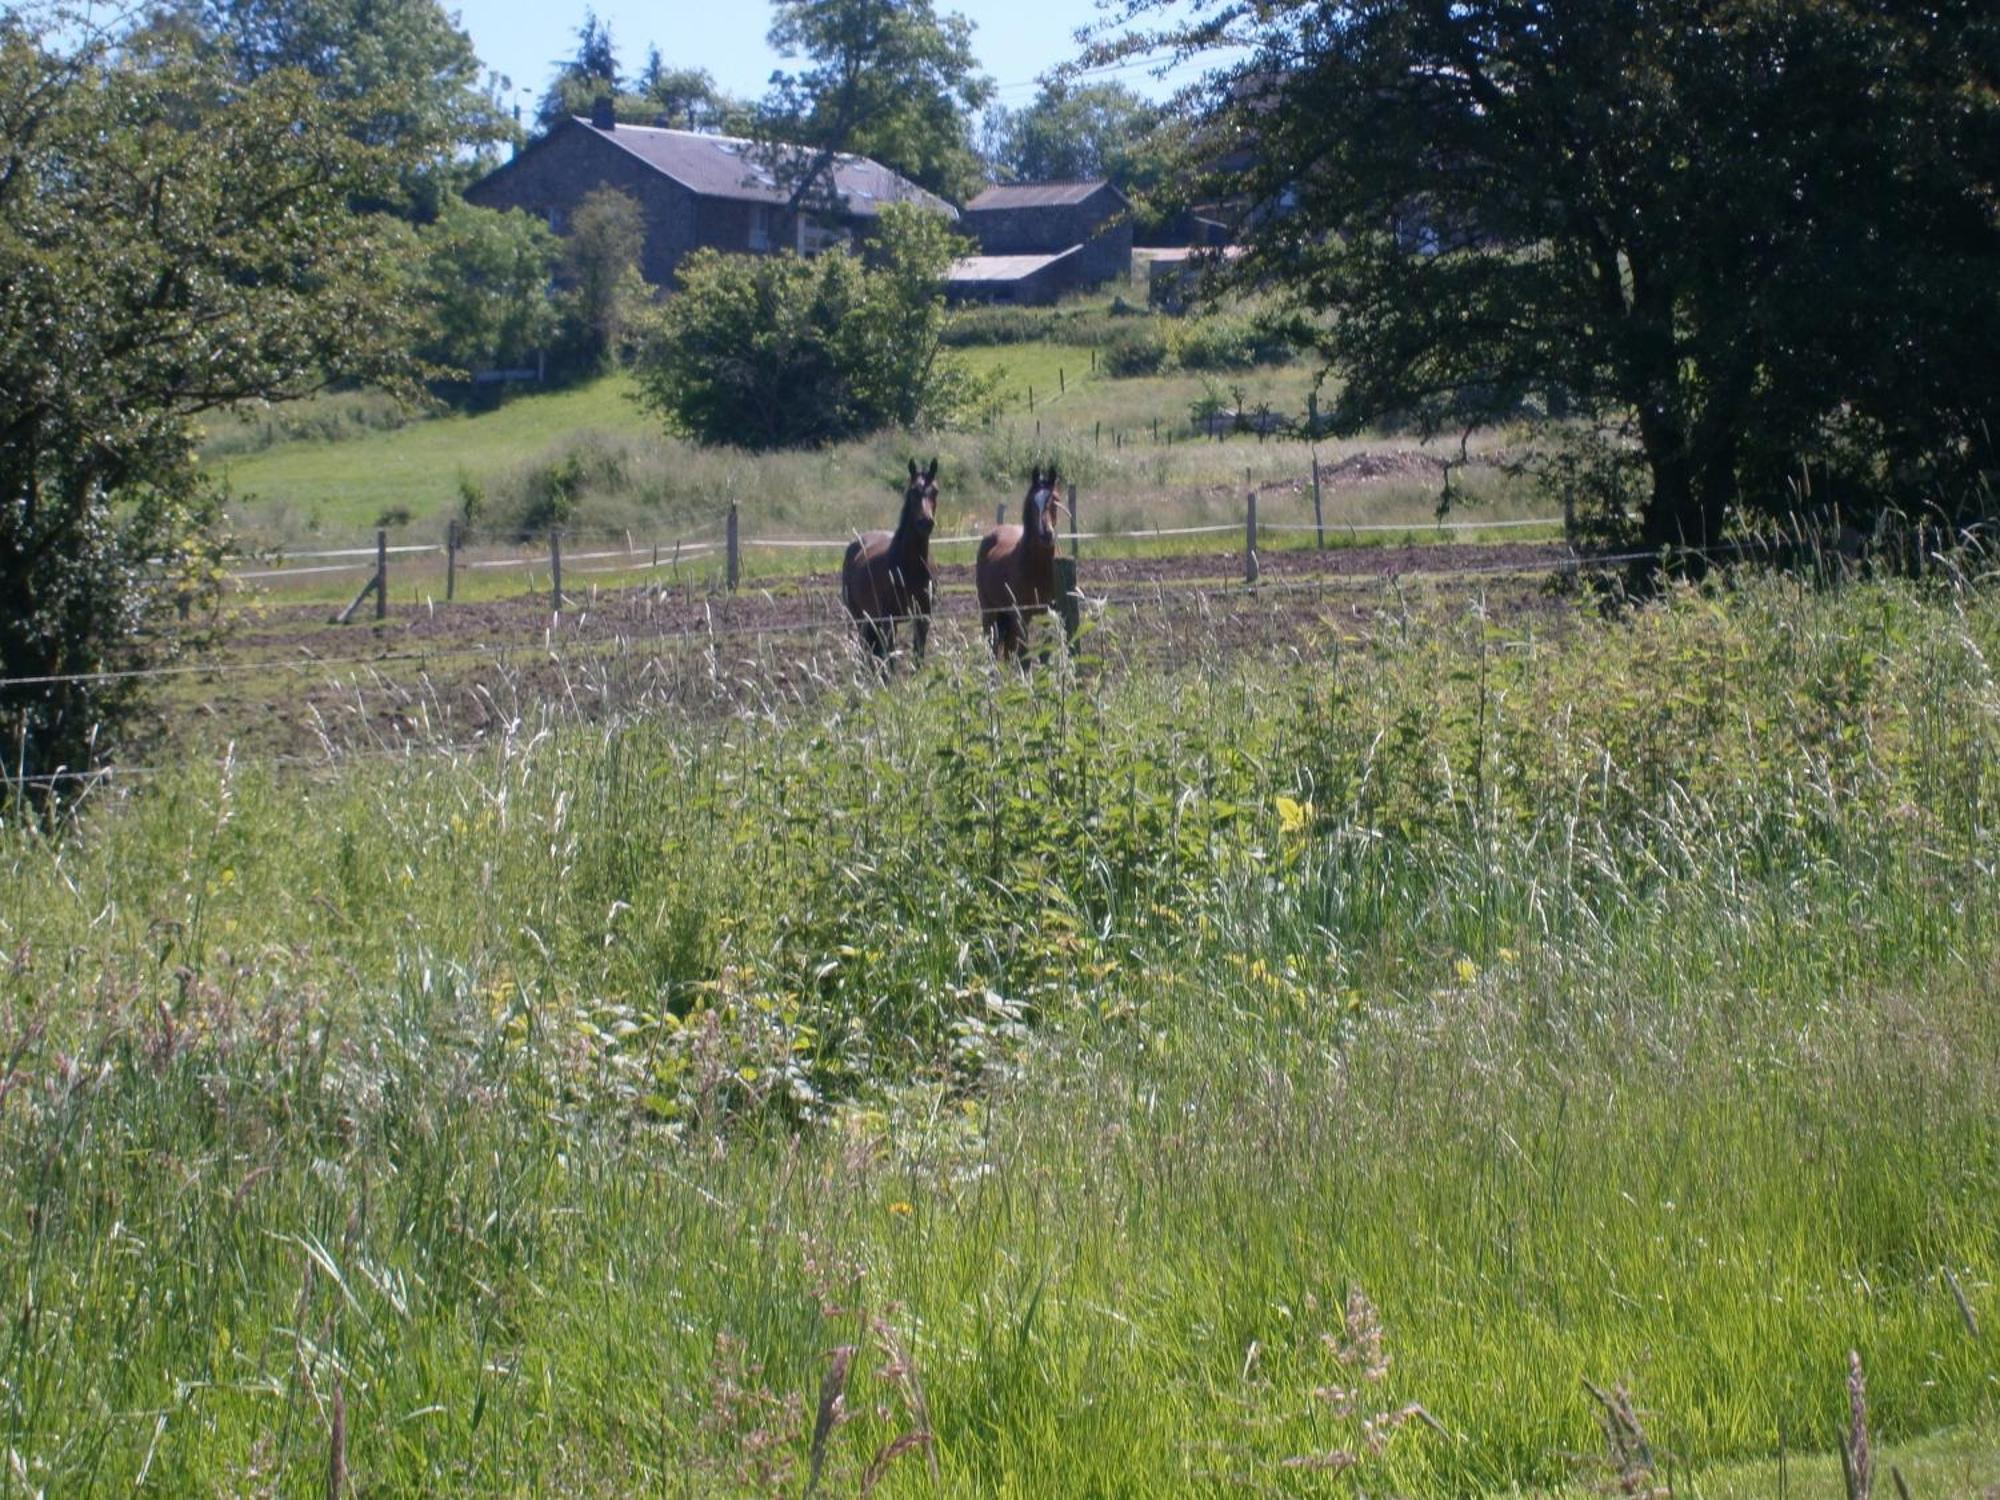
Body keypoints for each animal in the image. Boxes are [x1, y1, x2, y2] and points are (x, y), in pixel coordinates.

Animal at [840, 458, 940, 668]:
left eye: (935, 490)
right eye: (912, 491)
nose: (925, 522)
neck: (909, 566)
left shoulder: (923, 617)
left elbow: (918, 656)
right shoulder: (889, 620)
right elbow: (891, 660)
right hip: (861, 620)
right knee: (866, 654)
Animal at [972, 468, 1064, 660]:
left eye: (1055, 500)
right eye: (1032, 503)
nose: (1046, 534)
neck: (1038, 569)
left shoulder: (1049, 612)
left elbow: (1045, 651)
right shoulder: (1022, 616)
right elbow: (1023, 654)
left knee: (1007, 650)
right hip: (989, 611)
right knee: (992, 647)